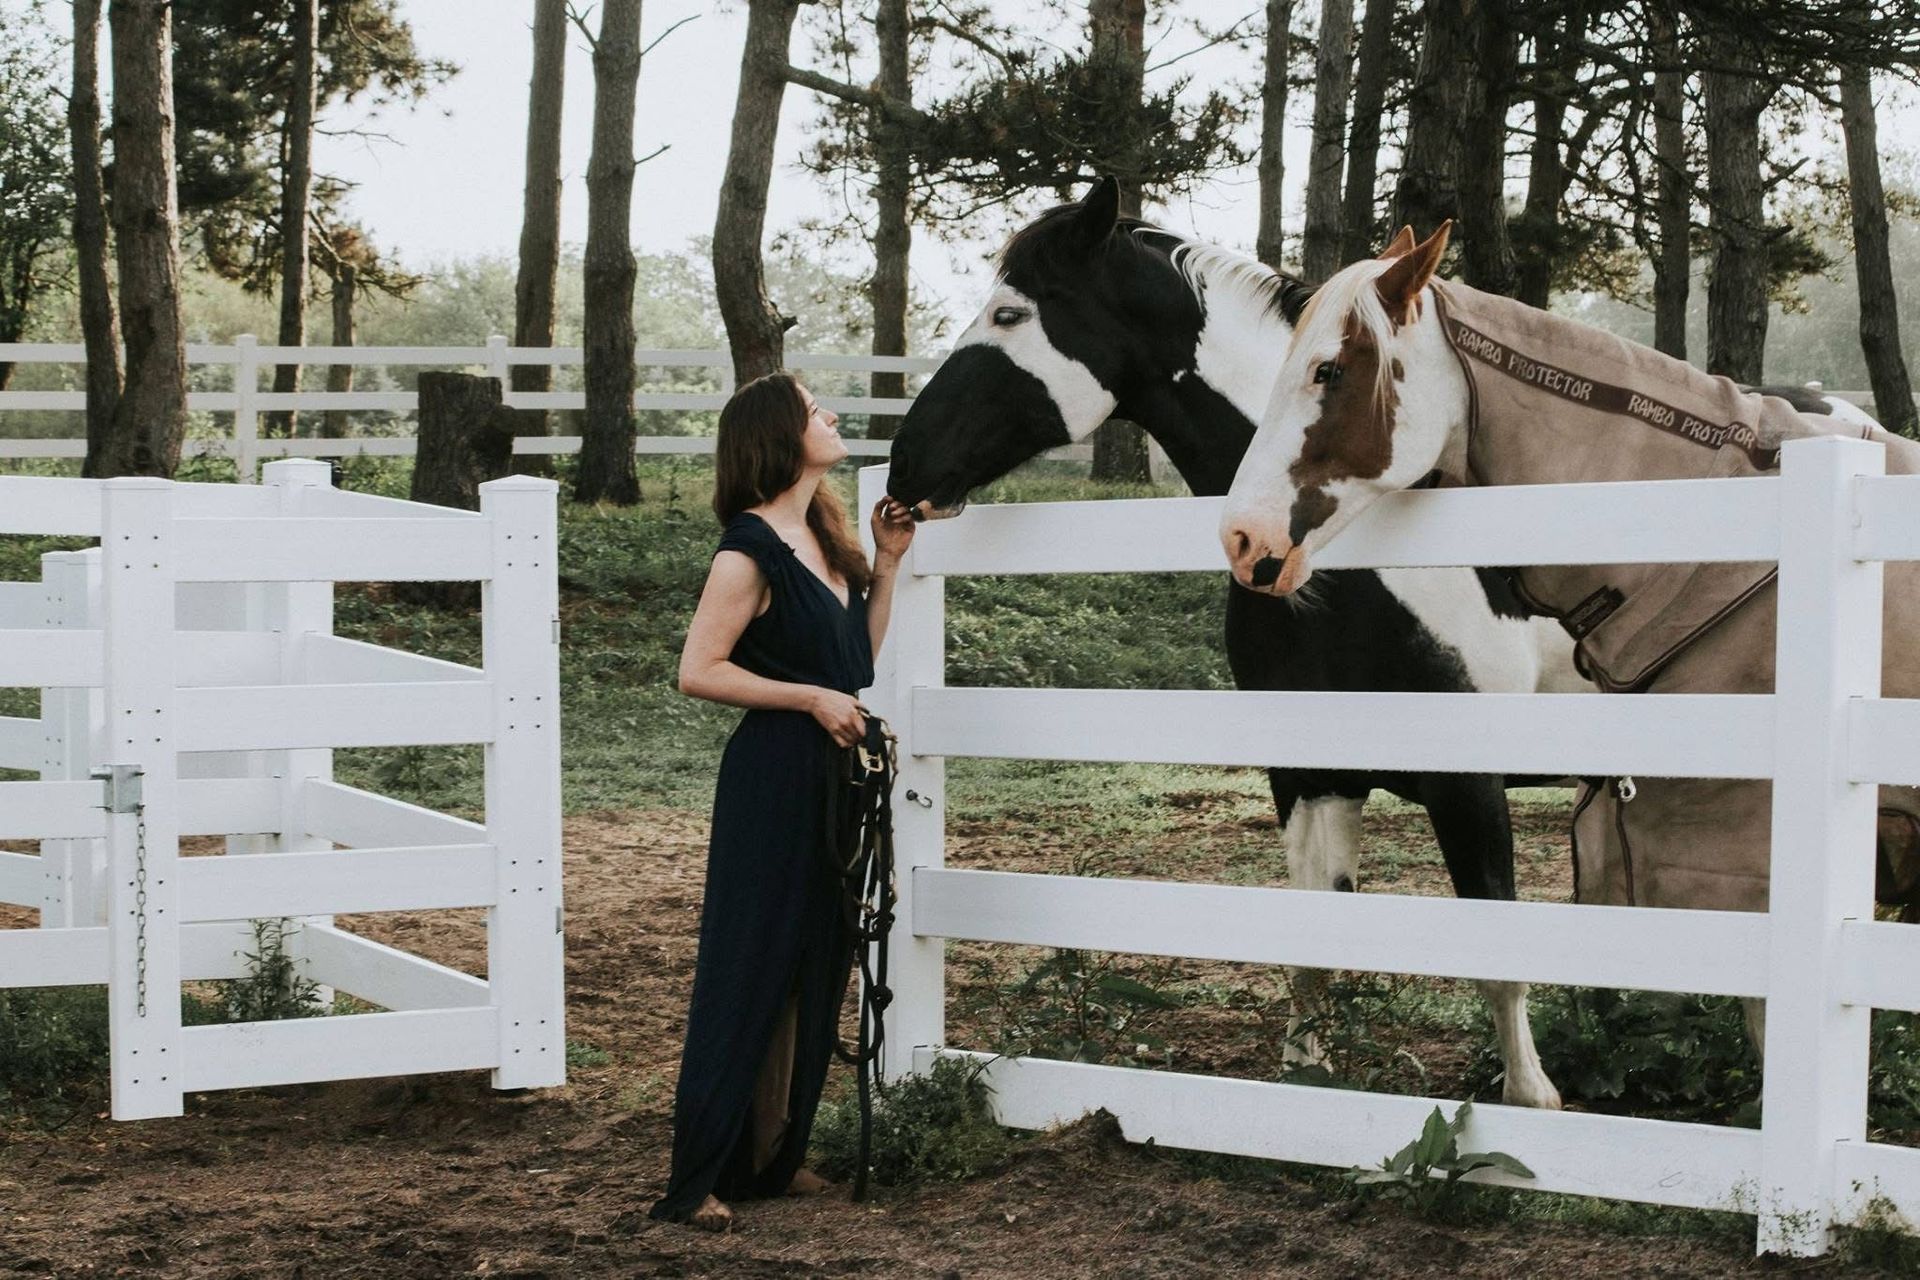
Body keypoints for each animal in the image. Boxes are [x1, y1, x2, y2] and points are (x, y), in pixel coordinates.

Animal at [885, 178, 1588, 1108]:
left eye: (1006, 314)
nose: (904, 465)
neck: (1348, 559)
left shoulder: (1468, 785)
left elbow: (1500, 950)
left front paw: (1531, 1099)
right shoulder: (1312, 775)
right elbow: (1314, 938)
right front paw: (1307, 1074)